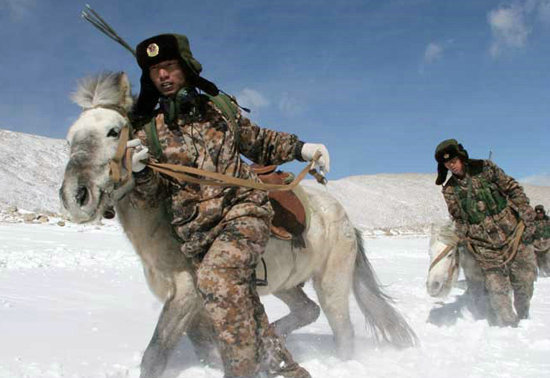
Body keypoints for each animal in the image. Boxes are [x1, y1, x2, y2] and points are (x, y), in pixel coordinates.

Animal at [59, 71, 418, 378]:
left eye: (113, 131)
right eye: (69, 139)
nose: (76, 196)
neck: (160, 225)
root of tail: (342, 215)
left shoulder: (188, 294)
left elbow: (155, 354)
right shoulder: (191, 307)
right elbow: (204, 348)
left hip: (332, 283)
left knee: (342, 332)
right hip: (285, 283)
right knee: (306, 311)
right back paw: (275, 342)